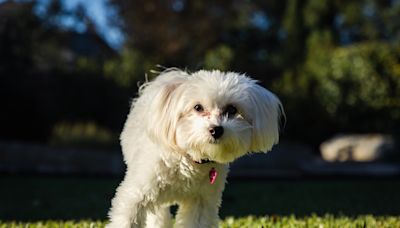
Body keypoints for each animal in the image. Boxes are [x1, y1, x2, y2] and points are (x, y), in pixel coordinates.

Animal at [106, 69, 282, 228]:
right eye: (198, 107)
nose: (216, 130)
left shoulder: (201, 202)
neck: (189, 158)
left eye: (232, 109)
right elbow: (127, 217)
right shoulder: (136, 195)